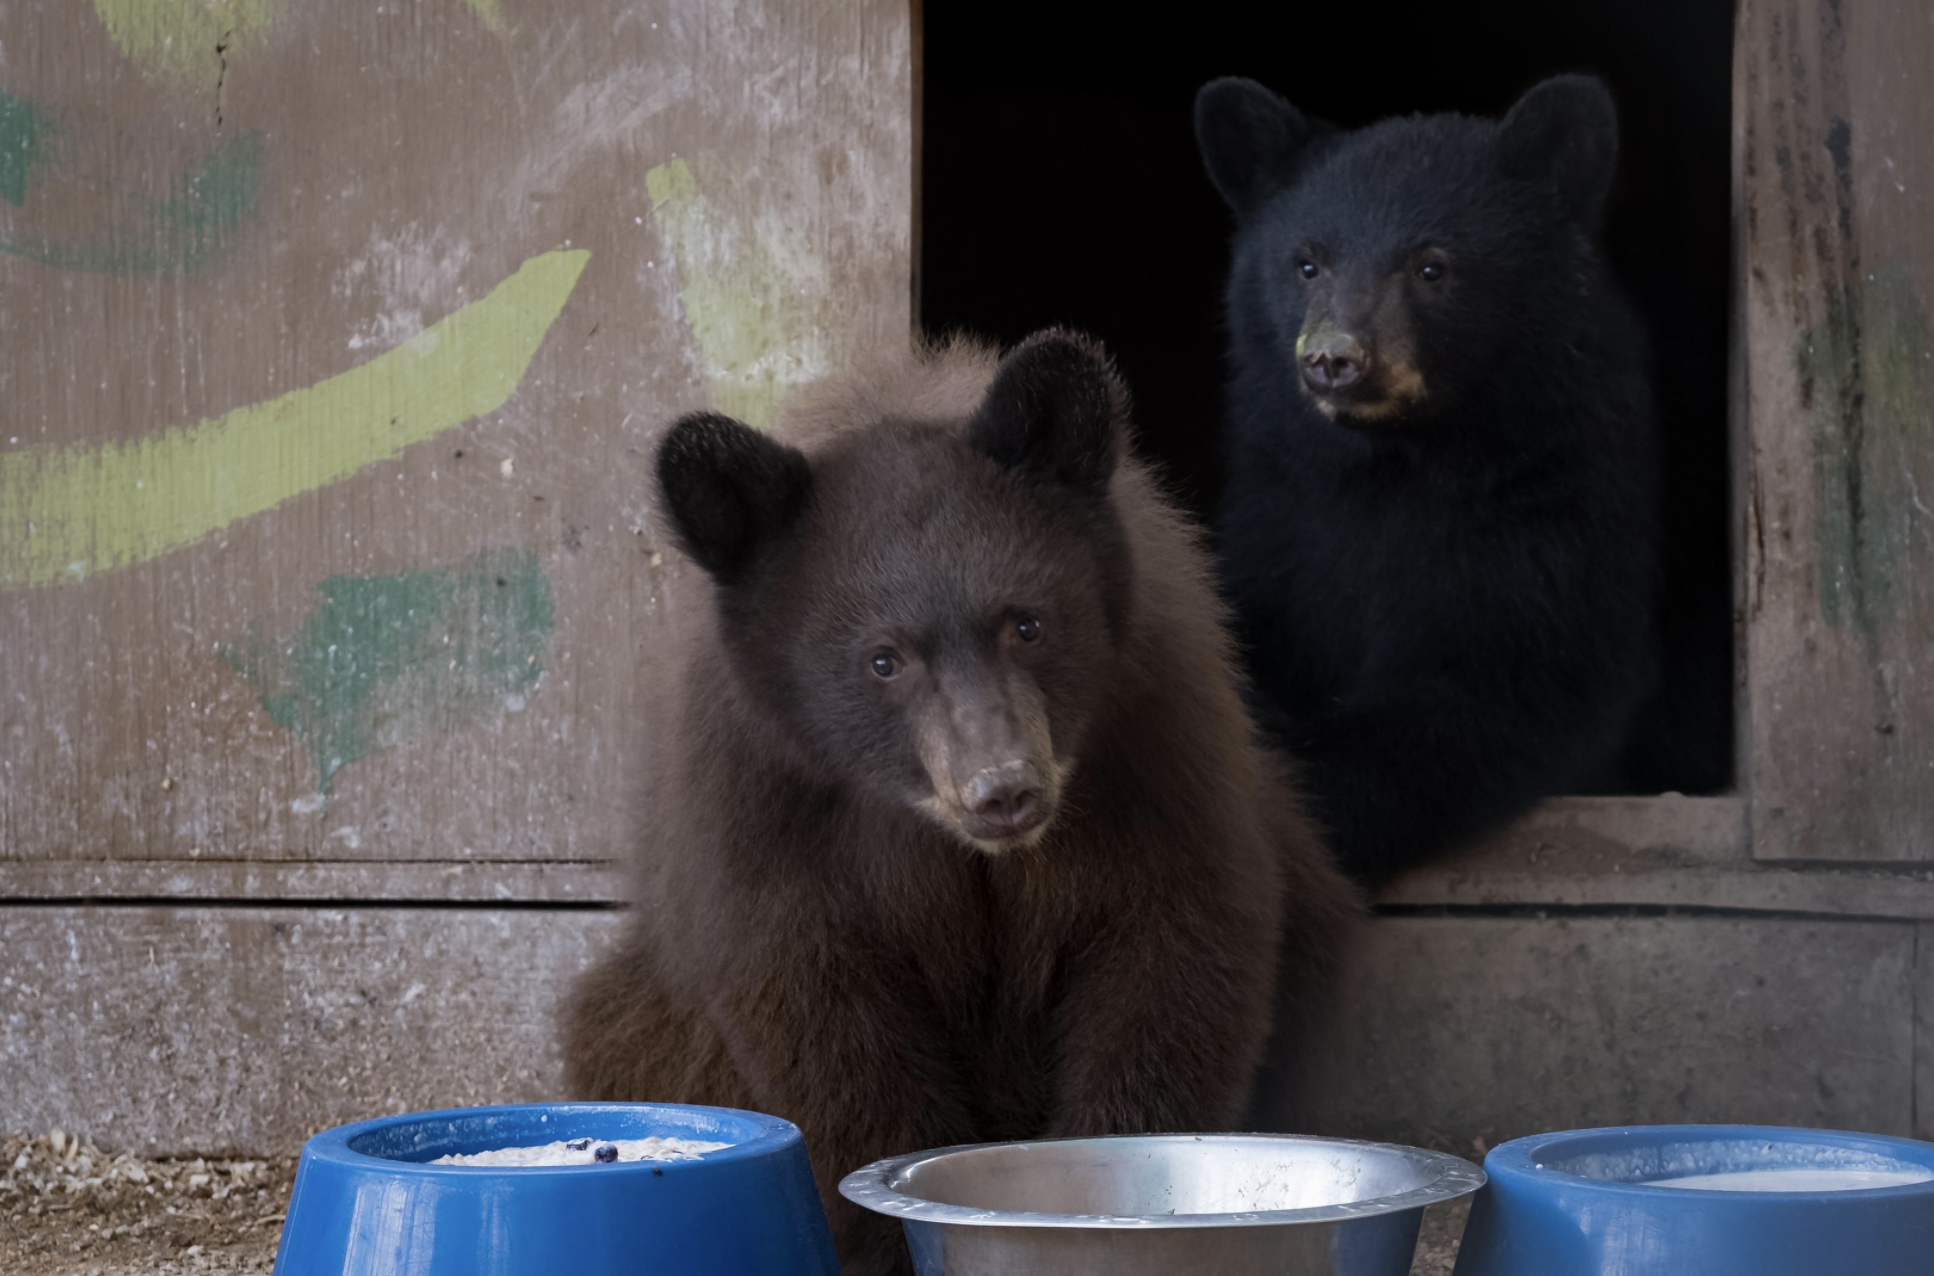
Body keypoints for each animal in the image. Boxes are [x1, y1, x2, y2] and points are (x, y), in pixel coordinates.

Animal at [563, 331, 1359, 1276]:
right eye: (883, 659)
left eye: (1027, 623)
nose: (1004, 787)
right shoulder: (761, 804)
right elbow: (820, 1014)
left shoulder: (1157, 745)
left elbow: (1174, 957)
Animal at [1194, 74, 1661, 889]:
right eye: (1307, 263)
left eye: (1431, 267)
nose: (1334, 359)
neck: (1396, 463)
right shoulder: (1280, 518)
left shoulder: (1551, 517)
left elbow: (1493, 689)